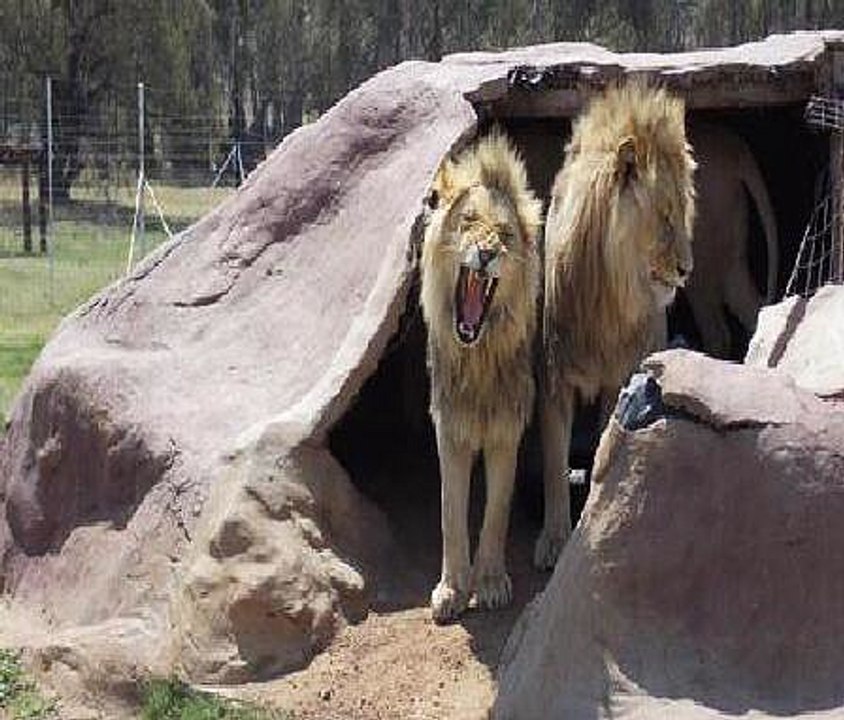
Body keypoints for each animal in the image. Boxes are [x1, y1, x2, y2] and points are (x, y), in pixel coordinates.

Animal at [537, 82, 696, 569]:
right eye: (664, 216)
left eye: (684, 213)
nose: (687, 269)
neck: (606, 297)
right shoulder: (552, 378)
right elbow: (553, 462)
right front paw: (553, 539)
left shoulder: (615, 378)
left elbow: (605, 449)